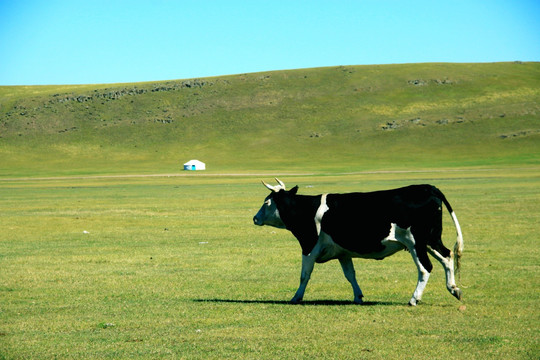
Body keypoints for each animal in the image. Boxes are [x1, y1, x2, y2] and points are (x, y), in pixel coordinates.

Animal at [253, 179, 464, 306]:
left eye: (266, 202)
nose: (255, 218)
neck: (308, 210)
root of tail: (427, 186)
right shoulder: (343, 253)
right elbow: (350, 275)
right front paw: (358, 297)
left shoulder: (309, 247)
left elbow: (304, 275)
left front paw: (296, 297)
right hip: (431, 240)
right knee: (447, 256)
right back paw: (454, 289)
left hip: (415, 242)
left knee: (425, 268)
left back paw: (414, 299)